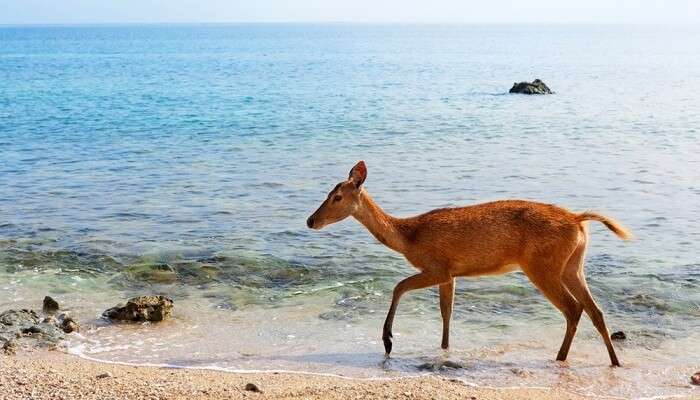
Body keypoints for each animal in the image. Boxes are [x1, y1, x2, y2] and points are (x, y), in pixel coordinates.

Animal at [304, 162, 632, 366]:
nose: (310, 220)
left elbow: (399, 286)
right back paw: (614, 361)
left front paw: (388, 340)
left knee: (573, 308)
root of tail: (578, 220)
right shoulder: (450, 274)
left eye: (336, 196)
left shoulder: (437, 265)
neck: (408, 237)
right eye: (327, 193)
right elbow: (446, 311)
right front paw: (444, 348)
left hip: (542, 266)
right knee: (595, 310)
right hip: (573, 265)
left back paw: (560, 358)